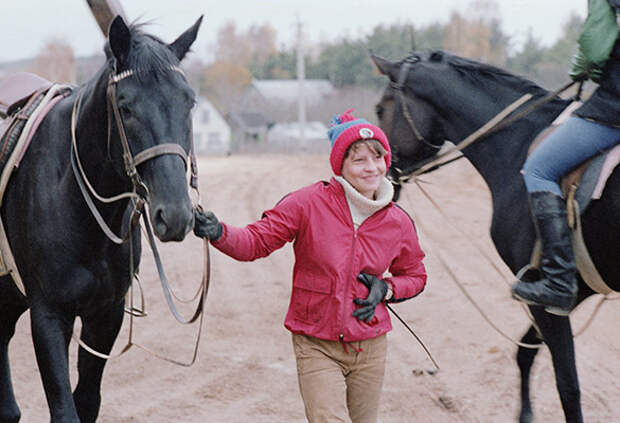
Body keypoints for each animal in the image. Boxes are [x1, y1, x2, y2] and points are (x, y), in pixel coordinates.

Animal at [0, 14, 203, 422]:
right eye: (125, 106)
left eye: (188, 102)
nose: (174, 215)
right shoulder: (49, 315)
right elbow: (65, 410)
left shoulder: (105, 314)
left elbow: (87, 402)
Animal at [372, 51, 620, 423]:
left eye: (379, 109)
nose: (382, 181)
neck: (518, 146)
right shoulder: (564, 297)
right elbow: (525, 353)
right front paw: (525, 414)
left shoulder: (544, 295)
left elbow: (567, 386)